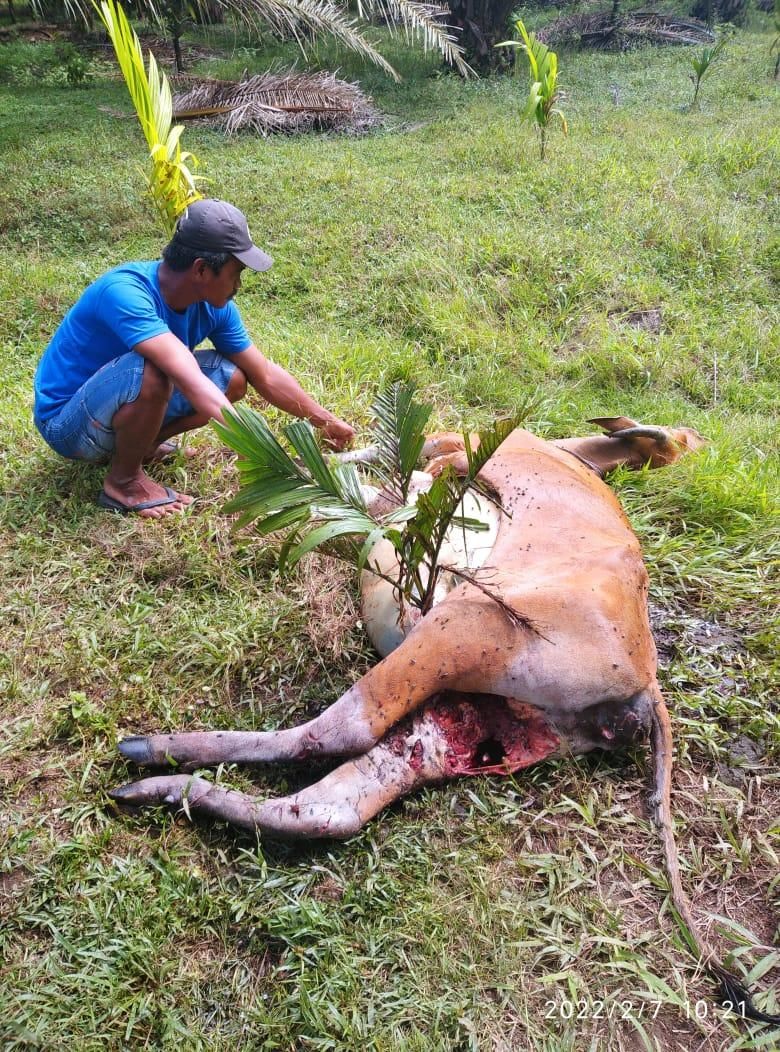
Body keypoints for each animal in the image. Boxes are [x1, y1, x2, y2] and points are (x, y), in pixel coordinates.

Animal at [111, 414, 778, 1022]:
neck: (575, 454)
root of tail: (645, 689)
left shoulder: (457, 451)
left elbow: (382, 467)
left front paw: (316, 460)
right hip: (472, 714)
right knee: (336, 806)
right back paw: (160, 782)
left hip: (468, 623)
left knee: (340, 732)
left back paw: (153, 751)